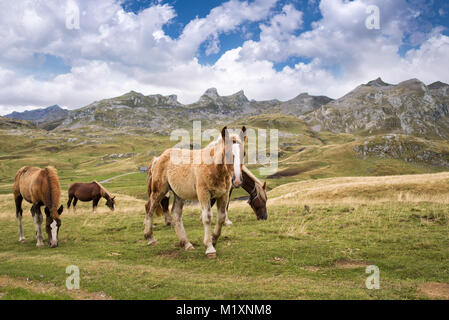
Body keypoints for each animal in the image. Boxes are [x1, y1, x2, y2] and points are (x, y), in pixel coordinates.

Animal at [145, 125, 247, 258]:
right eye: (227, 153)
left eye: (244, 153)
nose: (238, 180)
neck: (213, 167)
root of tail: (158, 158)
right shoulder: (203, 194)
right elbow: (207, 217)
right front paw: (209, 248)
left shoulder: (223, 195)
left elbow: (221, 217)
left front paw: (213, 239)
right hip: (159, 191)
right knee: (150, 209)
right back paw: (150, 238)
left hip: (179, 194)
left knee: (176, 214)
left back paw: (186, 244)